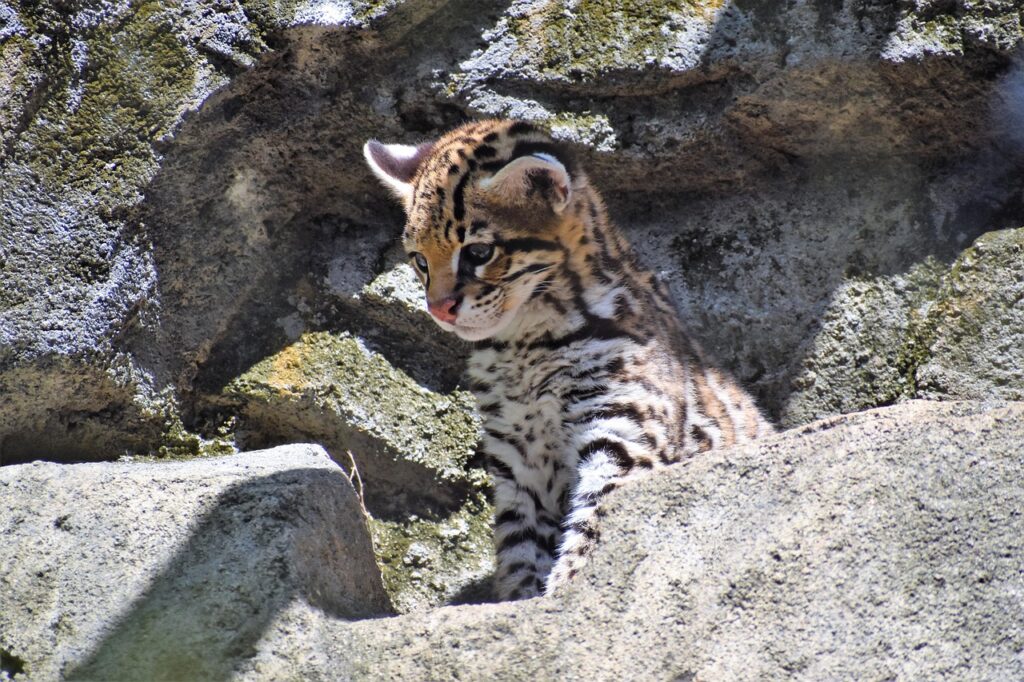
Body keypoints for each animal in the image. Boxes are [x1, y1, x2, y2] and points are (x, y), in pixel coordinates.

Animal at [364, 119, 770, 598]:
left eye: (479, 253)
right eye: (420, 261)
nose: (439, 309)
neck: (523, 345)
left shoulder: (624, 431)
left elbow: (598, 517)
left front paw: (569, 586)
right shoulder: (517, 461)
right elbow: (519, 545)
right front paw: (523, 598)